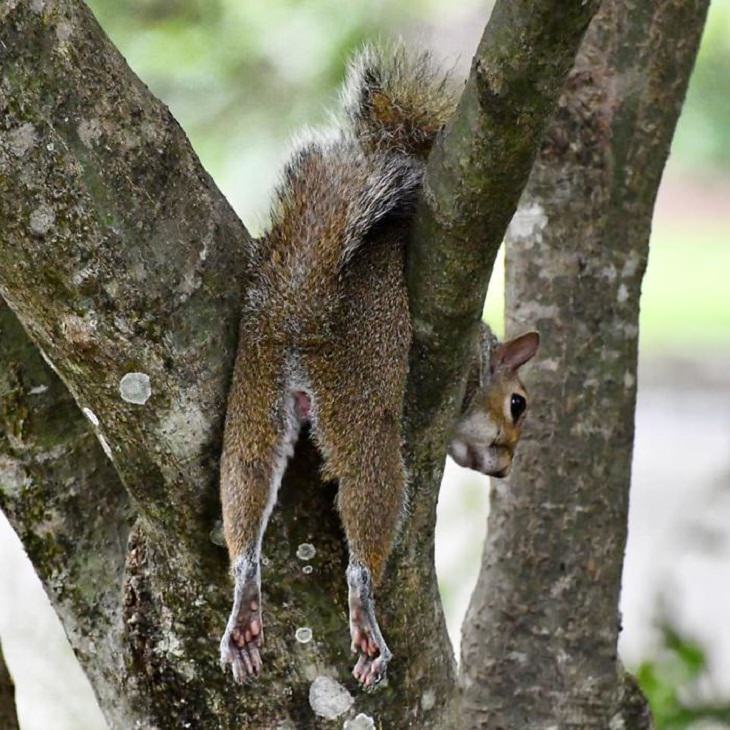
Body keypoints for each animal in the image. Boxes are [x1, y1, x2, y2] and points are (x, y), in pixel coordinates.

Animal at [216, 44, 536, 688]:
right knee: (371, 496)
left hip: (255, 384)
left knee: (245, 482)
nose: (504, 470)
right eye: (518, 406)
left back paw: (243, 603)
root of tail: (301, 309)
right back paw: (364, 610)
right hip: (360, 411)